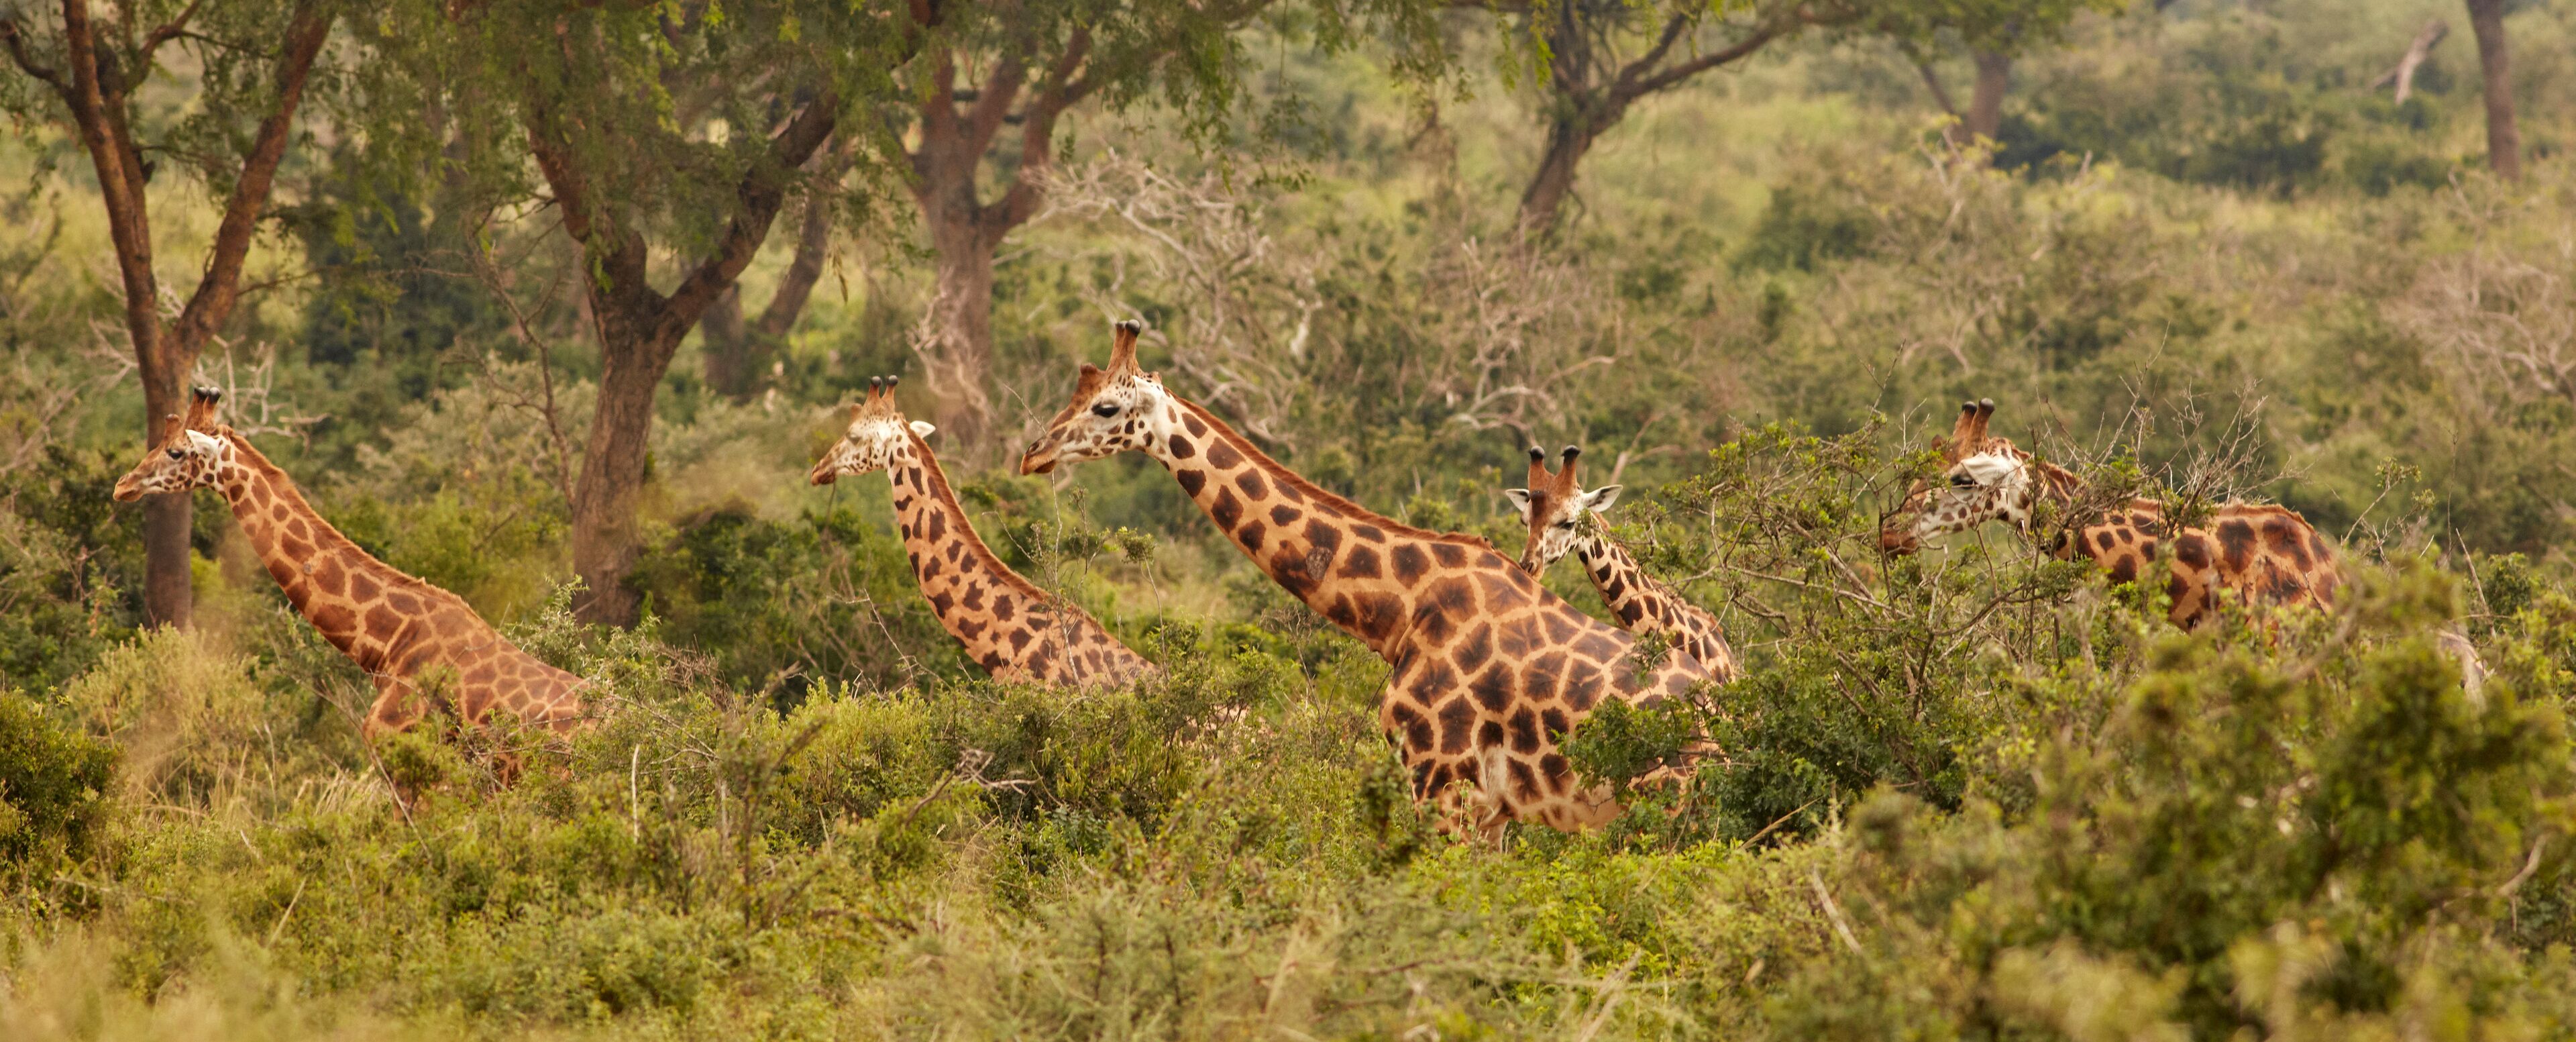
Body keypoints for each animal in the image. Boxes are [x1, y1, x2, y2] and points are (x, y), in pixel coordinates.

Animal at [1017, 320, 1712, 835]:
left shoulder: (1441, 780)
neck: (1404, 609)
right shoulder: (1487, 806)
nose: (1032, 453)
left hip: (1666, 810)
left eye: (1106, 405)